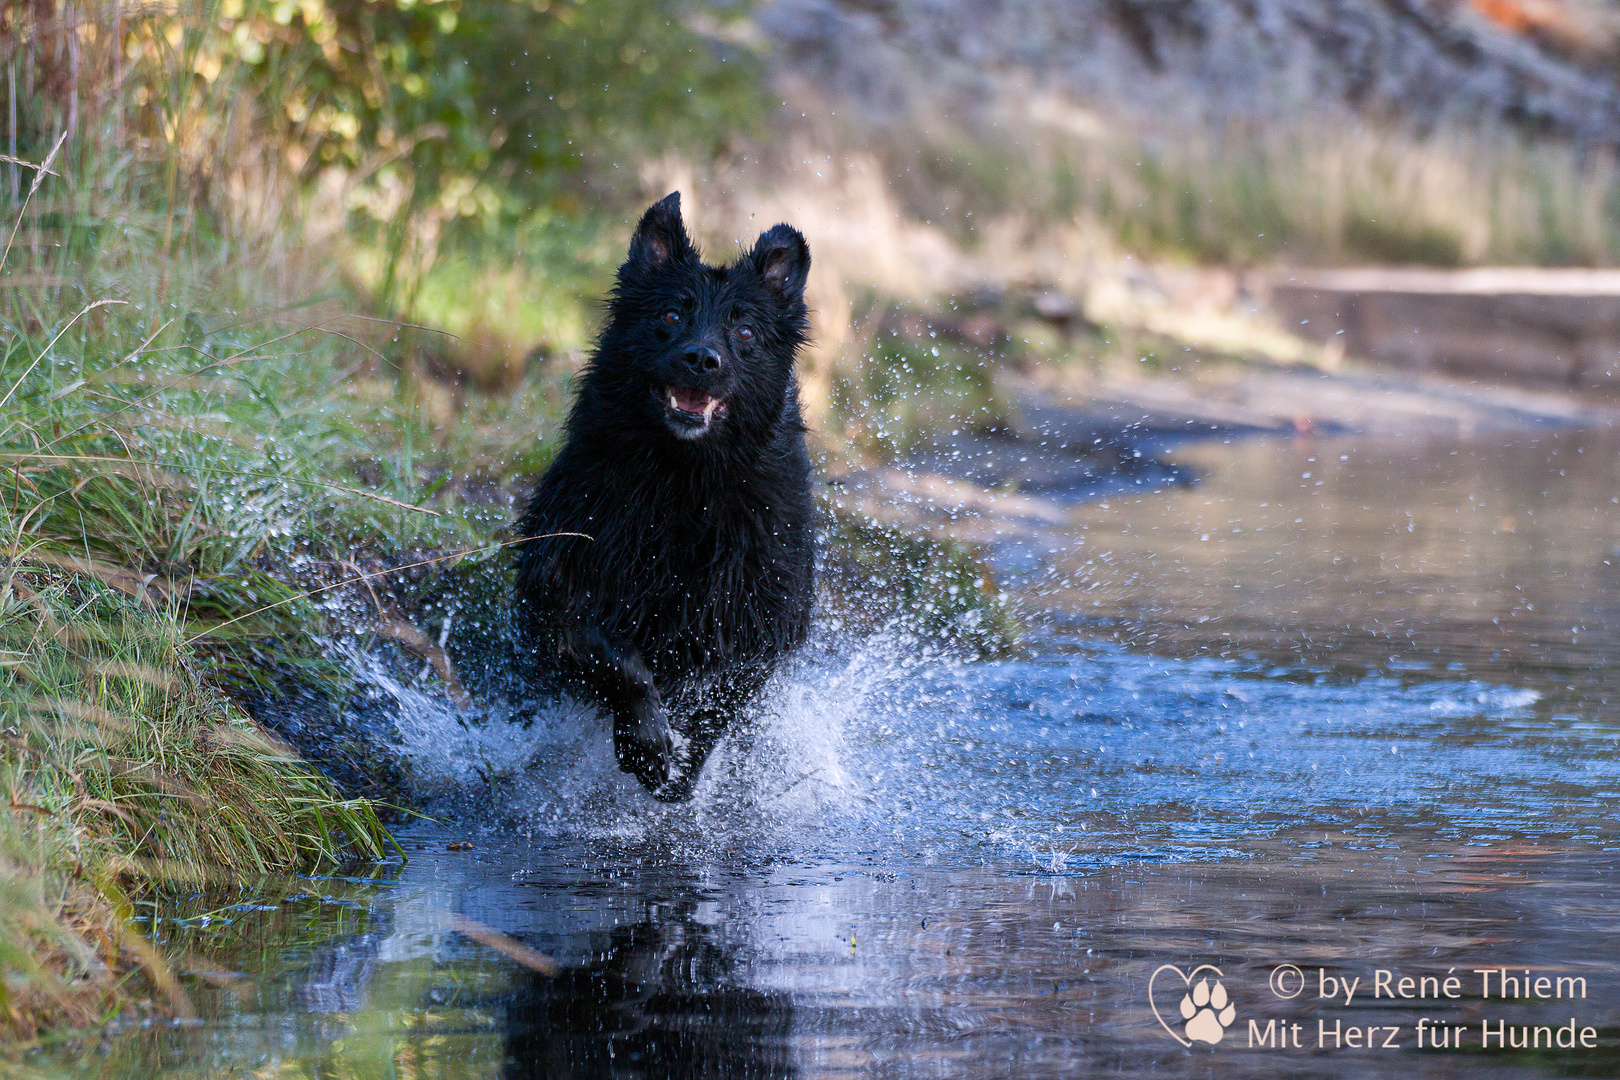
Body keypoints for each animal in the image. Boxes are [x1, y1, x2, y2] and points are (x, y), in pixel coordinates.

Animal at [515, 194, 816, 803]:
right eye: (672, 316)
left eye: (744, 330)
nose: (703, 359)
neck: (686, 483)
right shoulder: (570, 568)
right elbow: (613, 658)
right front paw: (649, 744)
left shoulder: (759, 613)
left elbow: (722, 697)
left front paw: (681, 764)